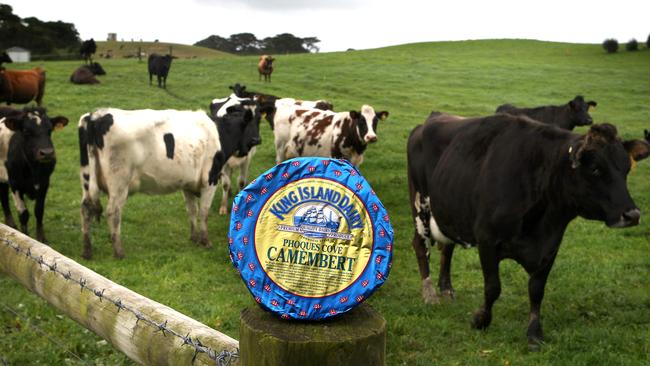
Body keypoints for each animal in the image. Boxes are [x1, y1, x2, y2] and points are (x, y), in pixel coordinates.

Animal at [0, 106, 68, 243]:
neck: (33, 169)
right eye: (26, 131)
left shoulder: (44, 183)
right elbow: (23, 213)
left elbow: (39, 210)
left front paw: (41, 238)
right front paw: (25, 235)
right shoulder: (15, 184)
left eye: (50, 130)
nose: (47, 153)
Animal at [79, 106, 262, 258]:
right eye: (250, 123)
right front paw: (205, 241)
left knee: (86, 208)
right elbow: (203, 212)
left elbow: (192, 210)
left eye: (259, 122)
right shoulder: (210, 180)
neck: (219, 133)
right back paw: (119, 251)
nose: (257, 140)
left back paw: (87, 251)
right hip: (119, 184)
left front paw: (194, 237)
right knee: (113, 213)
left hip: (88, 180)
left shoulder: (188, 184)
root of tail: (96, 115)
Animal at [404, 113, 648, 348]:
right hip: (421, 205)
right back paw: (429, 294)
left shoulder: (550, 245)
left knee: (447, 247)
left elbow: (537, 290)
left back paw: (446, 289)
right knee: (421, 246)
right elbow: (493, 287)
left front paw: (534, 333)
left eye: (626, 169)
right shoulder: (487, 239)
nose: (632, 214)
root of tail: (427, 122)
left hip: (448, 210)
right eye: (596, 169)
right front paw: (481, 320)